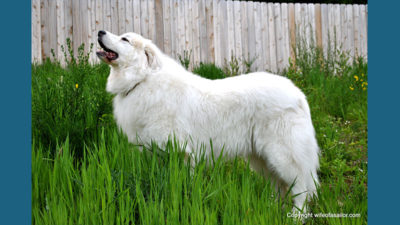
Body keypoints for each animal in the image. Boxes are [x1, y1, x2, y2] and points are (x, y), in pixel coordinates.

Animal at [96, 29, 318, 211]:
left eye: (125, 39)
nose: (100, 32)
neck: (142, 80)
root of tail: (299, 94)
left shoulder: (182, 153)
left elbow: (182, 185)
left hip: (283, 156)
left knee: (301, 190)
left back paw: (296, 216)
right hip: (261, 158)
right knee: (279, 187)